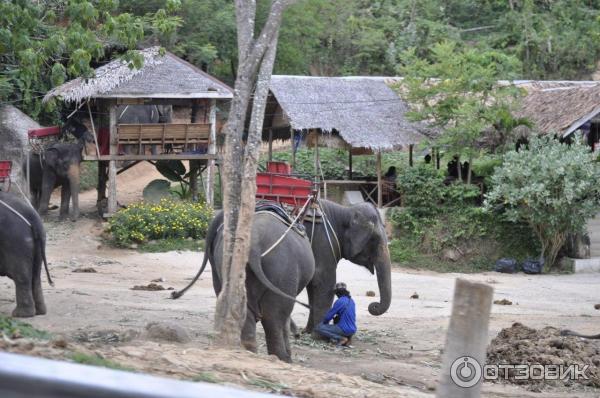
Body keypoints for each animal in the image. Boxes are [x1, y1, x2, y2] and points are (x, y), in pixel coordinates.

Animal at [0, 190, 52, 318]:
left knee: (22, 276)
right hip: (39, 241)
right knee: (35, 276)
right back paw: (40, 312)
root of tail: (33, 218)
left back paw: (21, 314)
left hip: (15, 241)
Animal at [172, 207, 314, 362]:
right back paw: (283, 360)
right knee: (274, 317)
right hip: (284, 269)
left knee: (246, 311)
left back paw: (250, 354)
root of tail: (254, 244)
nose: (298, 334)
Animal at [302, 201, 392, 334]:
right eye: (374, 239)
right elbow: (324, 282)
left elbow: (312, 285)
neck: (344, 211)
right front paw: (318, 334)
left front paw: (307, 332)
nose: (373, 305)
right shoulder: (322, 243)